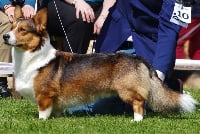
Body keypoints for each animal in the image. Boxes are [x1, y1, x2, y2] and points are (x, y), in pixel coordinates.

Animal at [3, 6, 198, 121]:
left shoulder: (45, 96)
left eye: (23, 30)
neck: (32, 56)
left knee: (139, 102)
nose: (5, 36)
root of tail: (138, 58)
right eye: (12, 28)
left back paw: (136, 120)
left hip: (126, 90)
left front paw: (41, 122)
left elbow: (43, 112)